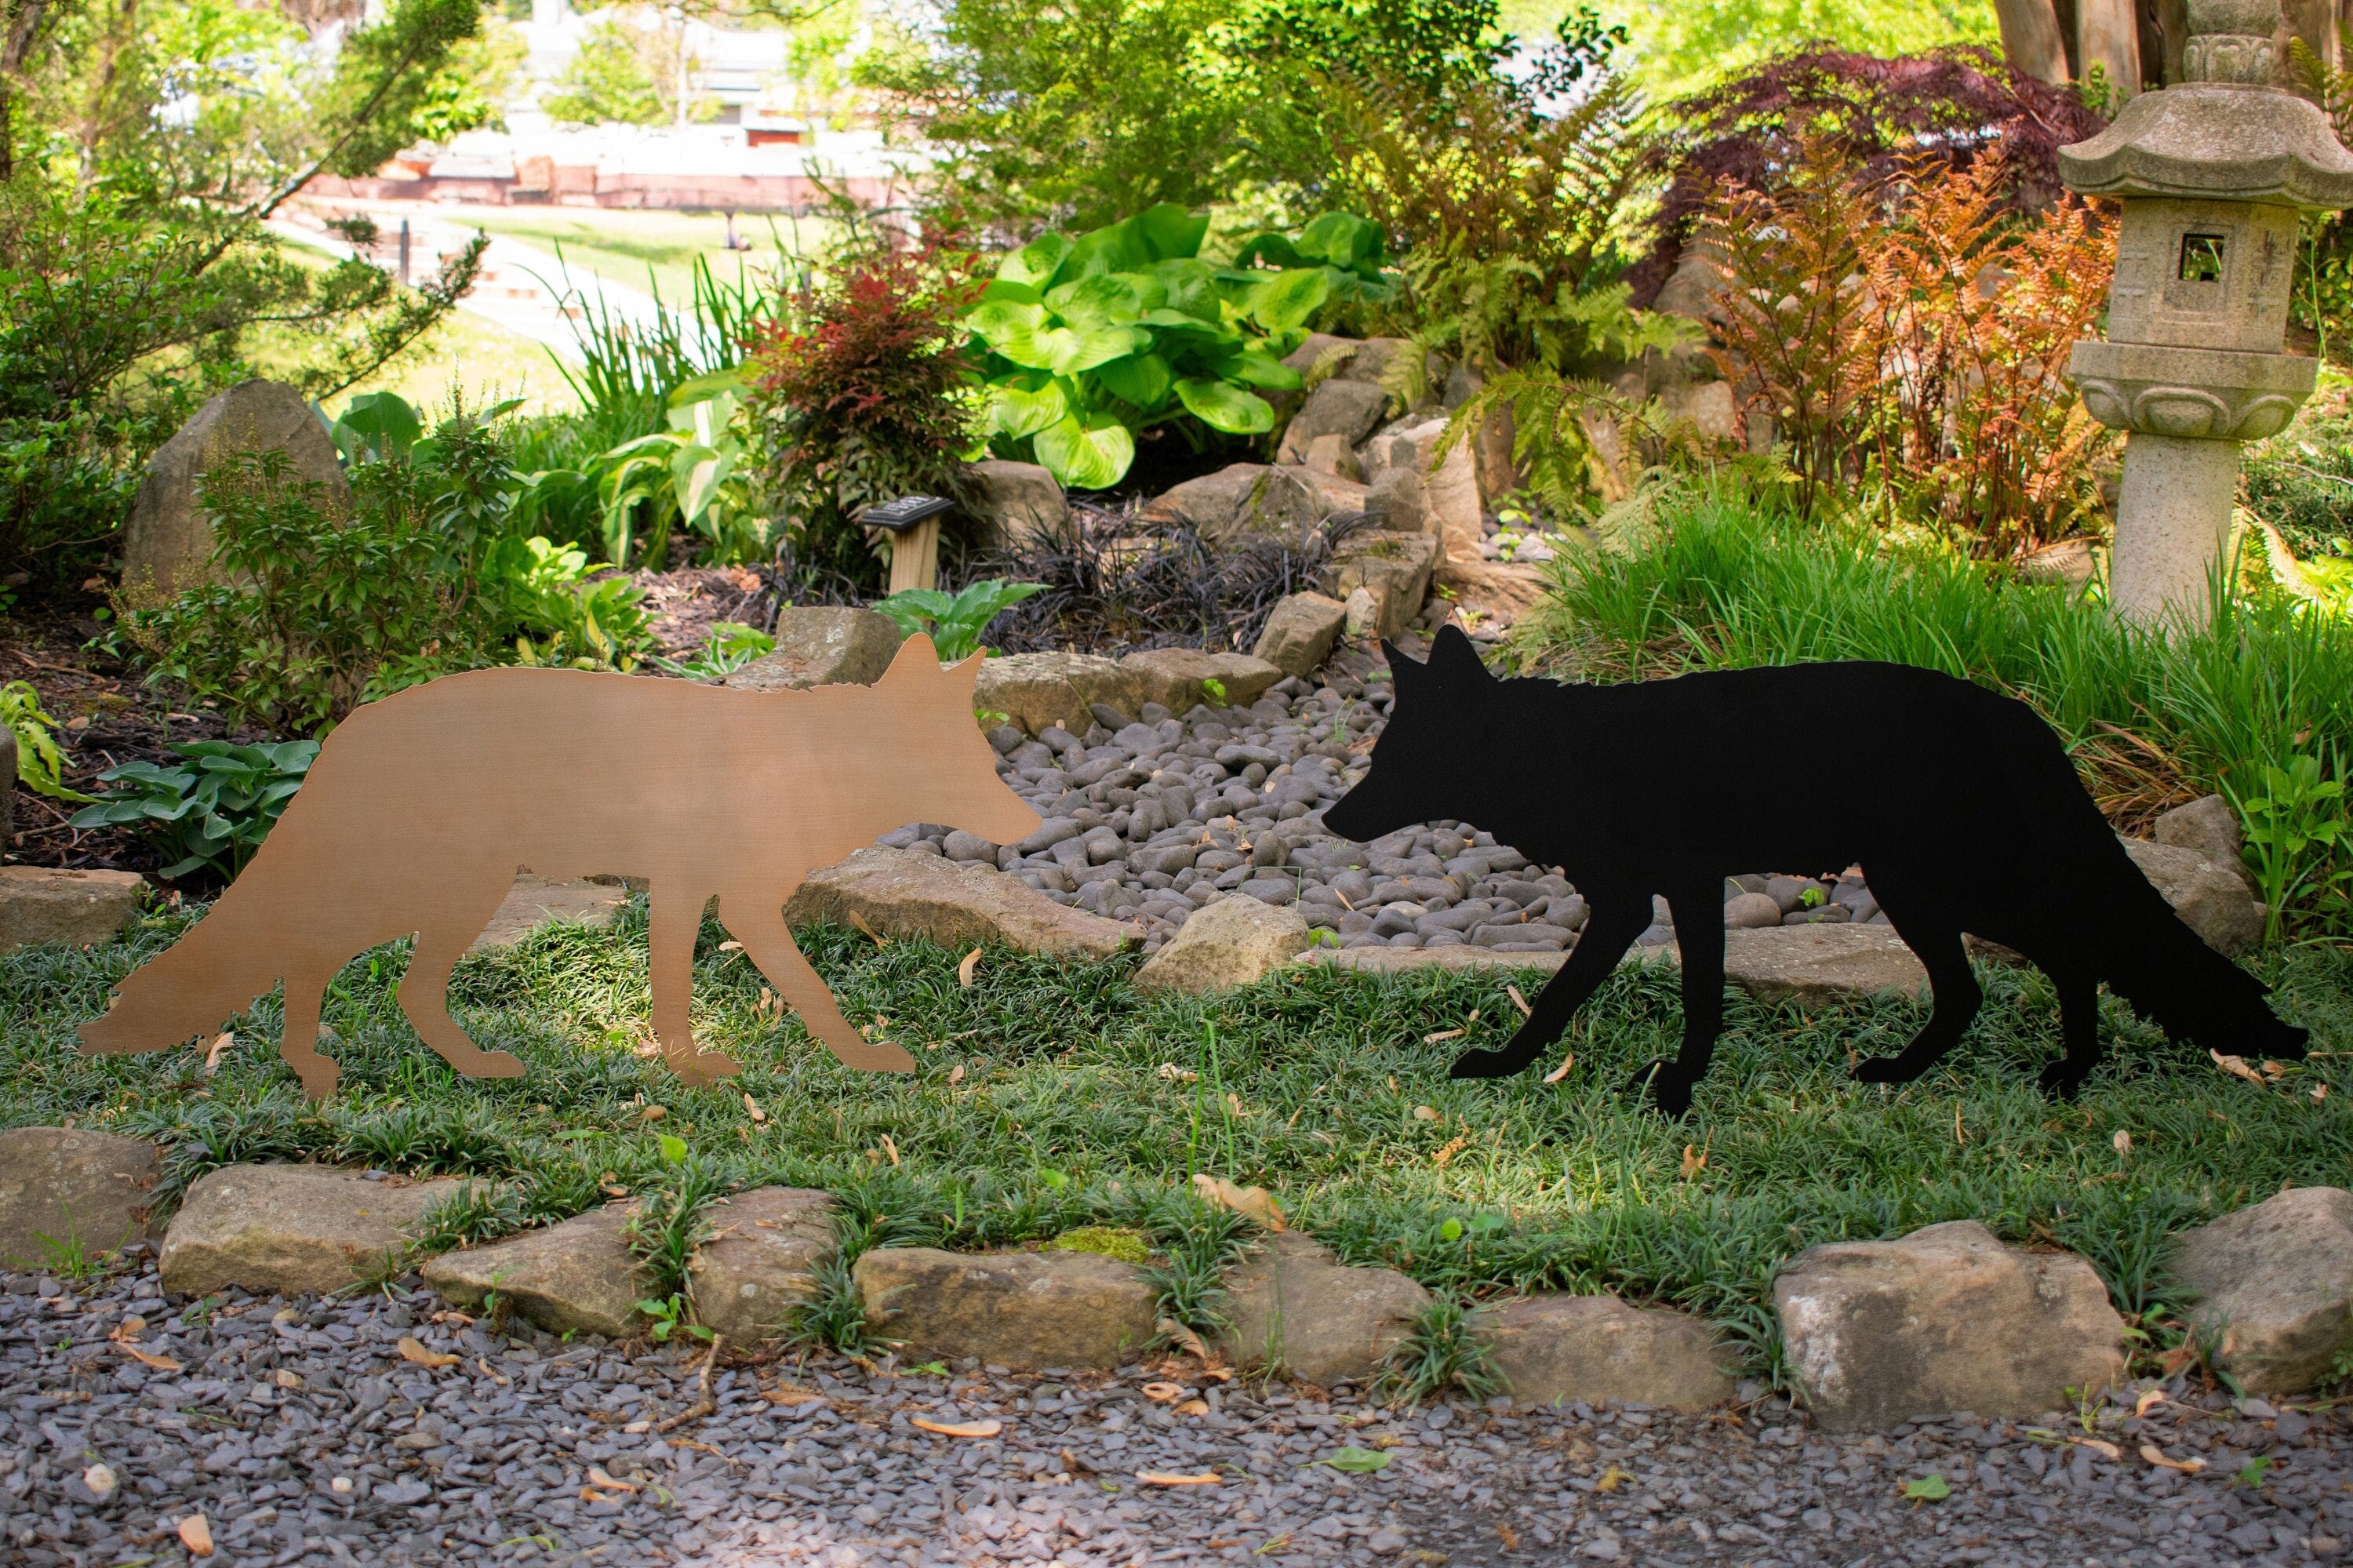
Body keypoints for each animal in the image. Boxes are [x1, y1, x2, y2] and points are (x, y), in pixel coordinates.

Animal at [79, 634, 1042, 1100]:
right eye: (972, 767)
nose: (1033, 825)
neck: (807, 769)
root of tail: (351, 724)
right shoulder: (726, 903)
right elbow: (798, 993)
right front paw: (800, 1066)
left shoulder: (695, 895)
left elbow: (687, 998)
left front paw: (695, 1073)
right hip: (446, 889)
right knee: (326, 958)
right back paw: (325, 1069)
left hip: (450, 894)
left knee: (365, 976)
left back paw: (407, 1071)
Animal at [1323, 627, 2306, 1116]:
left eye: (1394, 762)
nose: (1330, 819)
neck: (1565, 758)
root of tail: (2014, 714)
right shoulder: (1675, 895)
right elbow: (1676, 996)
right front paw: (1663, 1083)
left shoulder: (1642, 902)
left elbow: (1587, 994)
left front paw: (1629, 1083)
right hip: (1931, 891)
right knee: (1988, 986)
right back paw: (1940, 1075)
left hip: (1944, 886)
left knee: (2058, 958)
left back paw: (2061, 1071)